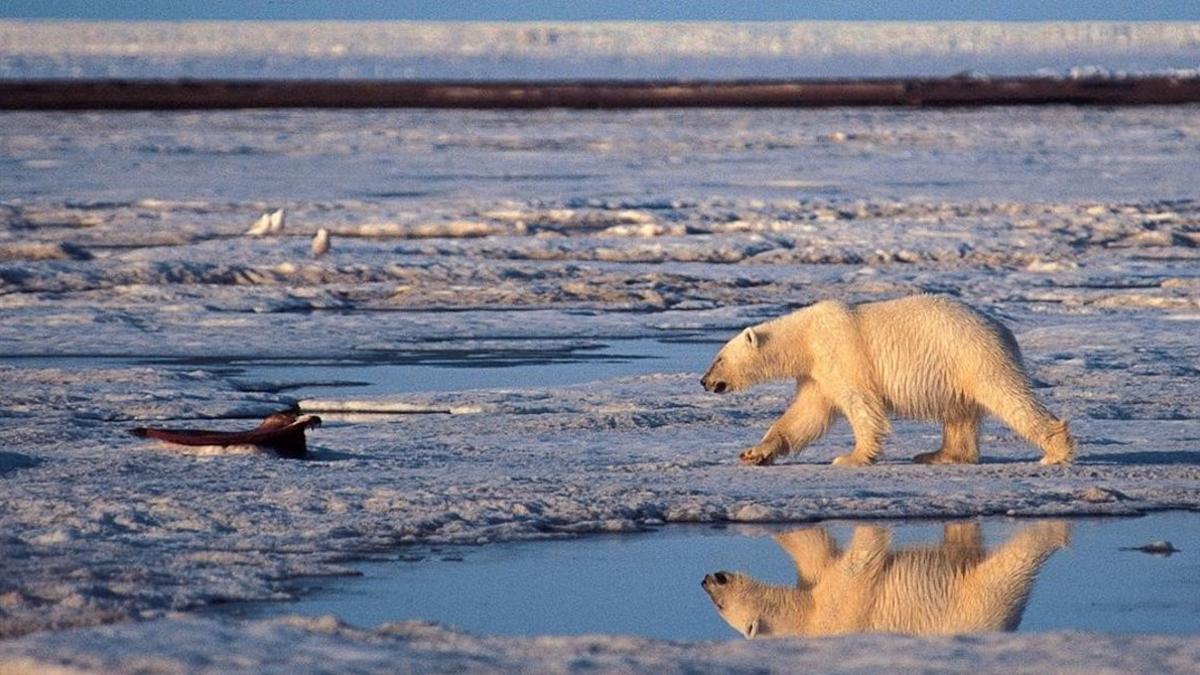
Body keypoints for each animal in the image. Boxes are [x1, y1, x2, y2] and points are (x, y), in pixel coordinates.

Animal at [700, 293, 1075, 461]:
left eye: (718, 358)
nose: (704, 381)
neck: (806, 337)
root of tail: (1004, 330)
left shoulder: (842, 354)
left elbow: (860, 404)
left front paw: (851, 458)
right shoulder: (817, 374)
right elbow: (805, 415)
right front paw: (754, 452)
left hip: (972, 355)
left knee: (1008, 397)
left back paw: (1055, 451)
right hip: (957, 370)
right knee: (959, 413)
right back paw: (938, 455)